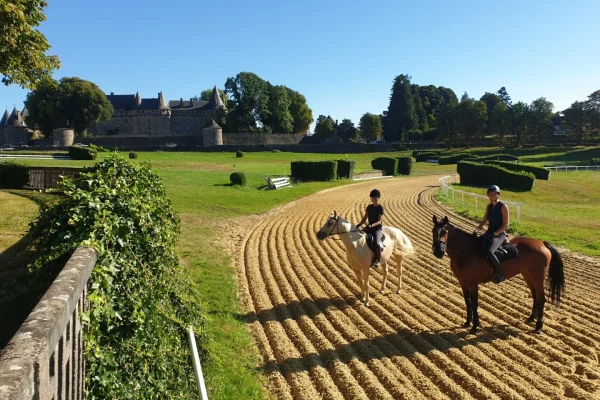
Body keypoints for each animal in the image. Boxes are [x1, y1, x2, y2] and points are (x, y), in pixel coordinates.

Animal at [428, 216, 564, 334]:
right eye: (433, 231)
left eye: (445, 232)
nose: (438, 252)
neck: (466, 252)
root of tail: (542, 243)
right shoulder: (462, 280)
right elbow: (467, 301)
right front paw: (467, 322)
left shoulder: (472, 282)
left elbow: (474, 302)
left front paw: (475, 326)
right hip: (527, 275)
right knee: (535, 295)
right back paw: (531, 318)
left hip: (538, 276)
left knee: (541, 298)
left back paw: (538, 327)